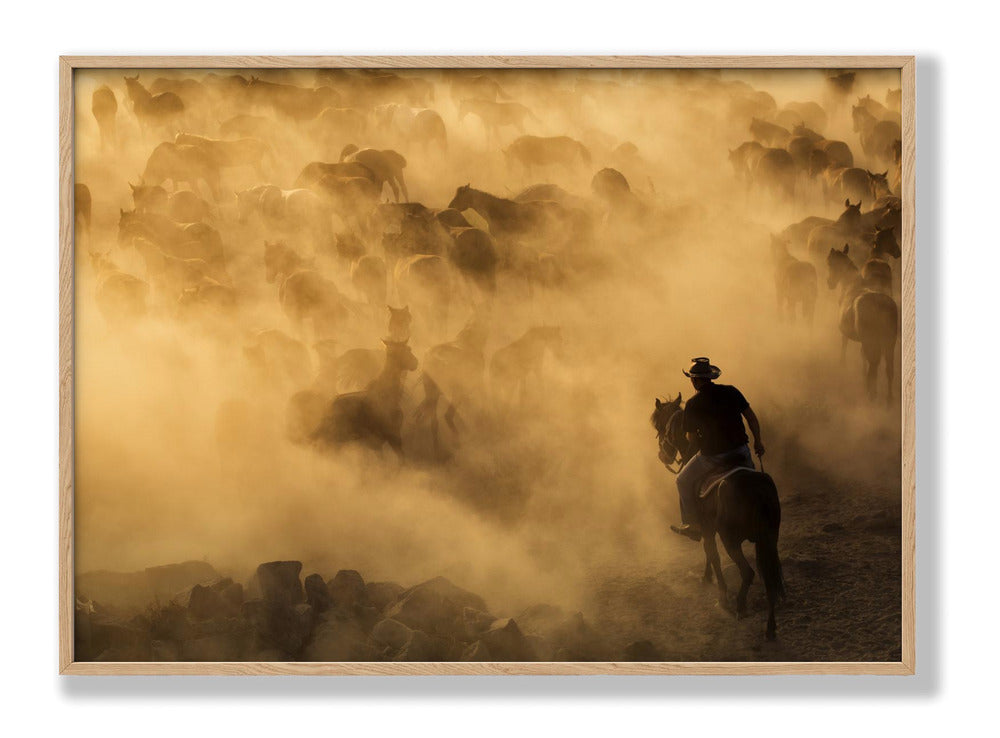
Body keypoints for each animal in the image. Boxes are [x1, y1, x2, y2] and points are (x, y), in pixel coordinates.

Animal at [652, 392, 784, 640]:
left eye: (659, 426)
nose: (662, 455)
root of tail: (757, 490)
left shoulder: (707, 529)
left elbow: (712, 555)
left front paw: (721, 595)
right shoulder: (709, 530)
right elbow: (708, 552)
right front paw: (707, 577)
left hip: (731, 540)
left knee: (749, 573)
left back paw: (740, 606)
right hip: (768, 540)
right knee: (768, 577)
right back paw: (770, 628)